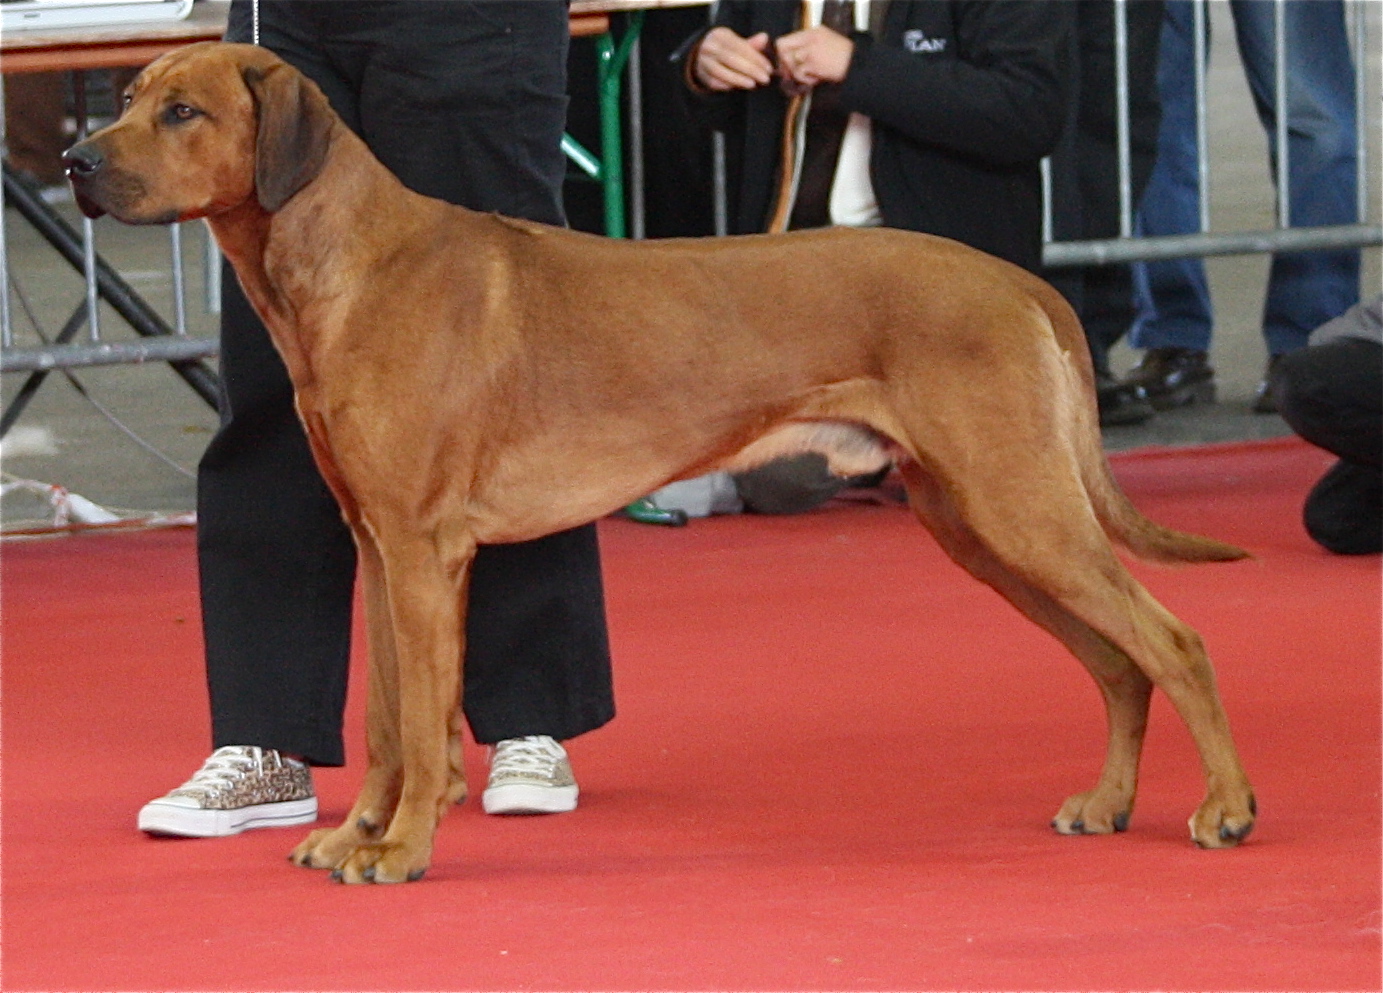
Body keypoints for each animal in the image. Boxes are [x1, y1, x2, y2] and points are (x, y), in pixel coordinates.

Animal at [62, 40, 1255, 885]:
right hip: (974, 520)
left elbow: (421, 721)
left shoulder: (421, 550)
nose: (76, 161)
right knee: (1117, 663)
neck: (346, 265)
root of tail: (1021, 279)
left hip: (1018, 504)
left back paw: (1227, 808)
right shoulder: (376, 543)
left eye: (182, 111)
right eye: (125, 94)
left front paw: (398, 849)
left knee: (1175, 643)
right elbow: (387, 715)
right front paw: (358, 830)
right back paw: (1105, 804)